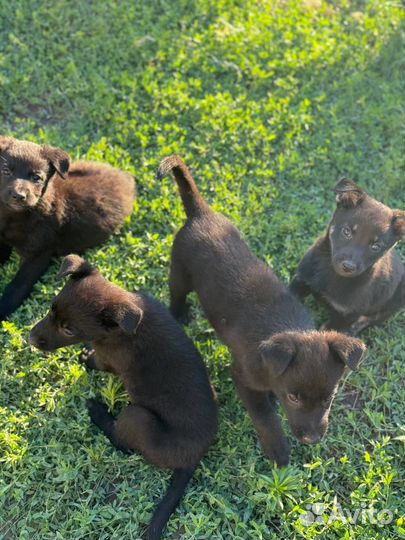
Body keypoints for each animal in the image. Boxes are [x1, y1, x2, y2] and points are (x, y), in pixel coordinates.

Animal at [0, 136, 136, 320]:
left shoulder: (38, 254)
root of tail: (125, 177)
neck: (15, 216)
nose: (18, 196)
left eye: (36, 178)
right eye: (6, 171)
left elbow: (17, 285)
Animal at [29, 254, 216, 540]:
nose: (29, 338)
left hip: (137, 417)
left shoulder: (109, 360)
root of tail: (194, 458)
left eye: (69, 330)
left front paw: (85, 357)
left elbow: (95, 361)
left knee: (122, 441)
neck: (122, 329)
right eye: (51, 309)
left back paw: (98, 412)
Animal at [158, 156, 366, 468]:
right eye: (293, 397)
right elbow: (265, 417)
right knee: (176, 293)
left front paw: (271, 399)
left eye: (329, 397)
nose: (311, 439)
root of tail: (200, 213)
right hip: (180, 270)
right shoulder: (241, 375)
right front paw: (278, 449)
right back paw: (178, 314)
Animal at [290, 179, 404, 336]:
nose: (348, 267)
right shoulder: (301, 281)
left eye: (376, 246)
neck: (331, 272)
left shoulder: (345, 316)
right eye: (347, 231)